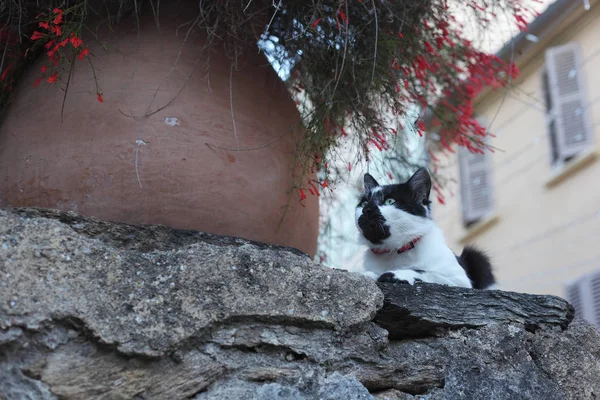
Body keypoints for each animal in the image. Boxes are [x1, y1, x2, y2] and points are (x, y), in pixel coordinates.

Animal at [356, 167, 496, 290]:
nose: (366, 209)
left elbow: (426, 272)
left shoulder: (460, 281)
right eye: (363, 203)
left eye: (390, 201)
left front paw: (396, 274)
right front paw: (368, 274)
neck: (393, 250)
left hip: (476, 257)